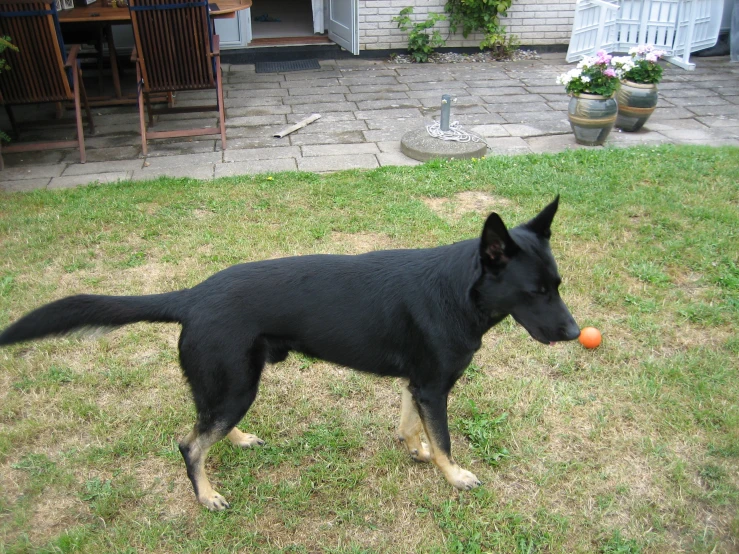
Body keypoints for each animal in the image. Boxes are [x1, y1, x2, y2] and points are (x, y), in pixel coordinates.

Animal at [0, 195, 580, 508]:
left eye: (557, 284)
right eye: (536, 292)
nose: (577, 332)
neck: (460, 291)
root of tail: (191, 296)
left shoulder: (419, 383)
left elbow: (411, 425)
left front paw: (415, 450)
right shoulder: (435, 388)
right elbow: (444, 440)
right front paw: (454, 476)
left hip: (231, 384)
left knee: (206, 424)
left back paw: (238, 440)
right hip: (237, 383)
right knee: (190, 444)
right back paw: (206, 495)